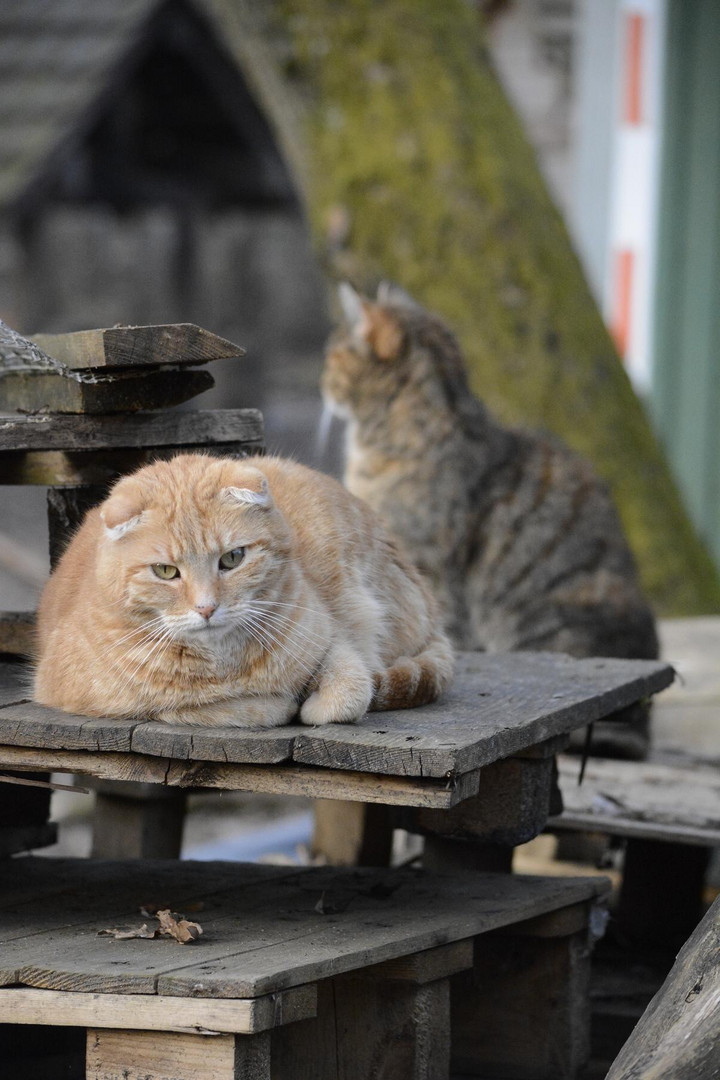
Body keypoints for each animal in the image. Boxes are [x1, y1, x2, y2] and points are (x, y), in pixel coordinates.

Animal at [33, 451, 453, 730]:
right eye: (166, 571)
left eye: (232, 558)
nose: (206, 608)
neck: (223, 661)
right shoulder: (62, 691)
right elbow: (221, 709)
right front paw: (277, 702)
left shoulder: (333, 639)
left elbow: (351, 690)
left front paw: (311, 702)